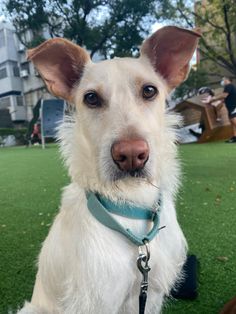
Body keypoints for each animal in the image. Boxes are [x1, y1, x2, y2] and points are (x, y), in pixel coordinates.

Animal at [18, 27, 199, 314]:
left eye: (149, 90)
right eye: (91, 98)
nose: (131, 155)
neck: (129, 206)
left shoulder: (152, 293)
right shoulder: (94, 302)